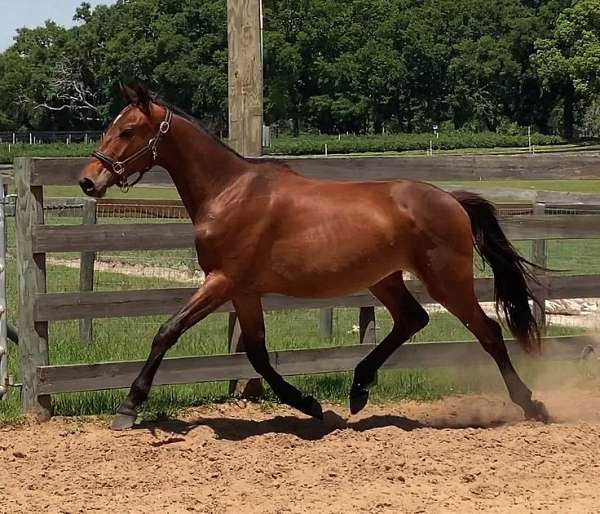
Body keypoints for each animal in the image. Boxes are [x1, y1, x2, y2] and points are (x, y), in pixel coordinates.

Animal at [78, 84, 548, 428]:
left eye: (127, 130)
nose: (87, 180)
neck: (229, 193)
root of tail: (451, 200)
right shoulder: (243, 290)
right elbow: (257, 353)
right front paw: (309, 405)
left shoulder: (222, 280)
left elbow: (167, 331)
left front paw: (128, 408)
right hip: (384, 278)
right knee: (412, 319)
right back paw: (358, 390)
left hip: (446, 280)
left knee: (488, 331)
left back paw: (532, 405)